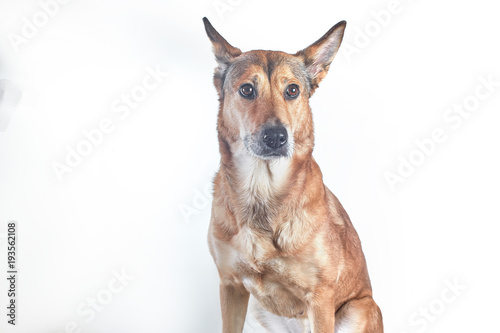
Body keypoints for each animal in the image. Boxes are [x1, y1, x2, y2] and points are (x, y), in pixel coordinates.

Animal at [203, 16, 382, 330]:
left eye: (293, 91)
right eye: (247, 89)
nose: (276, 137)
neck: (262, 189)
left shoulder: (320, 298)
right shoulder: (230, 286)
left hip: (361, 307)